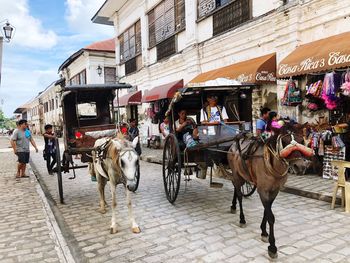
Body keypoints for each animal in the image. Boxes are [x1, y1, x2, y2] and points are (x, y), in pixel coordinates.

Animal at [227, 128, 312, 260]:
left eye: (301, 141)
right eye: (285, 142)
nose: (300, 166)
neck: (271, 164)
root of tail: (234, 144)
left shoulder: (274, 190)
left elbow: (266, 211)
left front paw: (263, 232)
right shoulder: (262, 190)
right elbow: (270, 216)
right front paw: (272, 247)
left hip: (241, 176)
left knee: (236, 189)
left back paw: (233, 206)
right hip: (236, 174)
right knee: (240, 195)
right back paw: (242, 219)